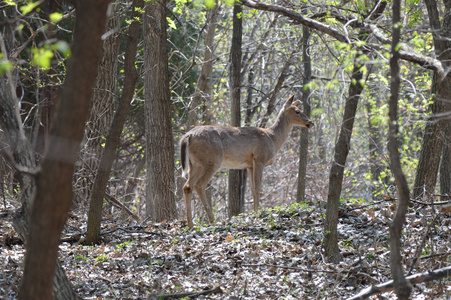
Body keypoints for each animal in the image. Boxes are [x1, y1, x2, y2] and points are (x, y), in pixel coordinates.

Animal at [180, 95, 314, 226]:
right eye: (297, 111)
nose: (311, 122)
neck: (273, 138)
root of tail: (188, 136)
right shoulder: (259, 158)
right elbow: (258, 188)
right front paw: (258, 212)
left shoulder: (250, 165)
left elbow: (253, 189)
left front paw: (254, 211)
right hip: (212, 159)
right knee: (199, 185)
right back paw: (212, 220)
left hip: (195, 164)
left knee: (187, 186)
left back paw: (190, 224)